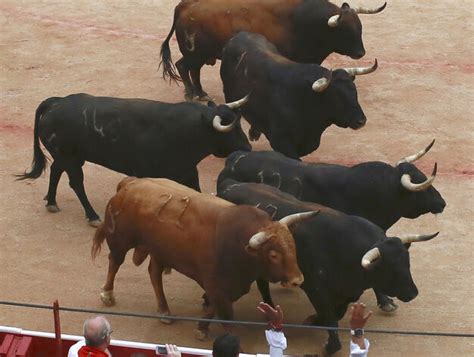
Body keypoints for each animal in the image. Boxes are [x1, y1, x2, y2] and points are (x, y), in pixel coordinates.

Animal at [16, 92, 250, 225]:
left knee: (56, 170)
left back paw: (51, 202)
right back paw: (92, 216)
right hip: (70, 158)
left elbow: (196, 192)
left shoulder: (188, 171)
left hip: (67, 156)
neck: (191, 129)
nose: (247, 148)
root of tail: (55, 103)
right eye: (231, 129)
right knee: (76, 183)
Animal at [91, 178, 314, 340]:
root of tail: (130, 183)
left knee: (154, 273)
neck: (240, 246)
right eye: (273, 254)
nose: (298, 280)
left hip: (161, 250)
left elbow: (213, 308)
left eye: (293, 247)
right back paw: (107, 294)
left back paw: (164, 310)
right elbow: (226, 317)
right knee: (115, 262)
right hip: (120, 240)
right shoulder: (217, 285)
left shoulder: (226, 288)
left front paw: (202, 327)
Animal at [159, 0, 386, 100]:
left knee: (191, 69)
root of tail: (184, 5)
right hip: (195, 53)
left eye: (359, 28)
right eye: (345, 32)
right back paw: (192, 94)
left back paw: (199, 92)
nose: (360, 53)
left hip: (200, 55)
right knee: (184, 66)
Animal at [217, 179, 438, 354]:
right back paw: (269, 309)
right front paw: (329, 342)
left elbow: (337, 312)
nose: (413, 293)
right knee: (262, 284)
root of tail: (229, 188)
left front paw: (316, 319)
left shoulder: (348, 290)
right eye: (390, 268)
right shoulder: (315, 288)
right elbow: (330, 316)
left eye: (407, 262)